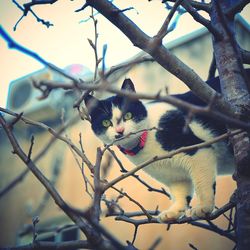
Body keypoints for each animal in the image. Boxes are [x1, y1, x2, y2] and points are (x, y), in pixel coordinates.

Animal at [85, 76, 235, 223]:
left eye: (128, 115)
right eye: (106, 122)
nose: (120, 131)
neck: (144, 142)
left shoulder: (197, 150)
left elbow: (202, 184)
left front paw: (204, 207)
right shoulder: (174, 175)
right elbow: (181, 192)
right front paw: (174, 212)